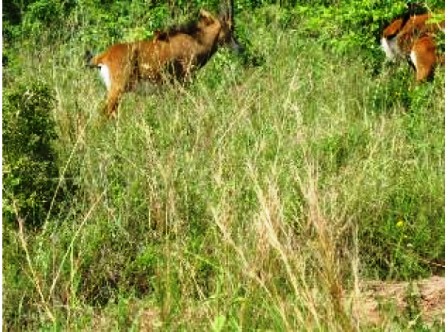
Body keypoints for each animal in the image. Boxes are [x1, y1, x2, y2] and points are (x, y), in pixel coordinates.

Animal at [86, 1, 243, 118]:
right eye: (231, 28)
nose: (239, 48)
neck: (196, 41)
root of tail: (104, 56)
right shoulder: (184, 82)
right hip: (117, 89)